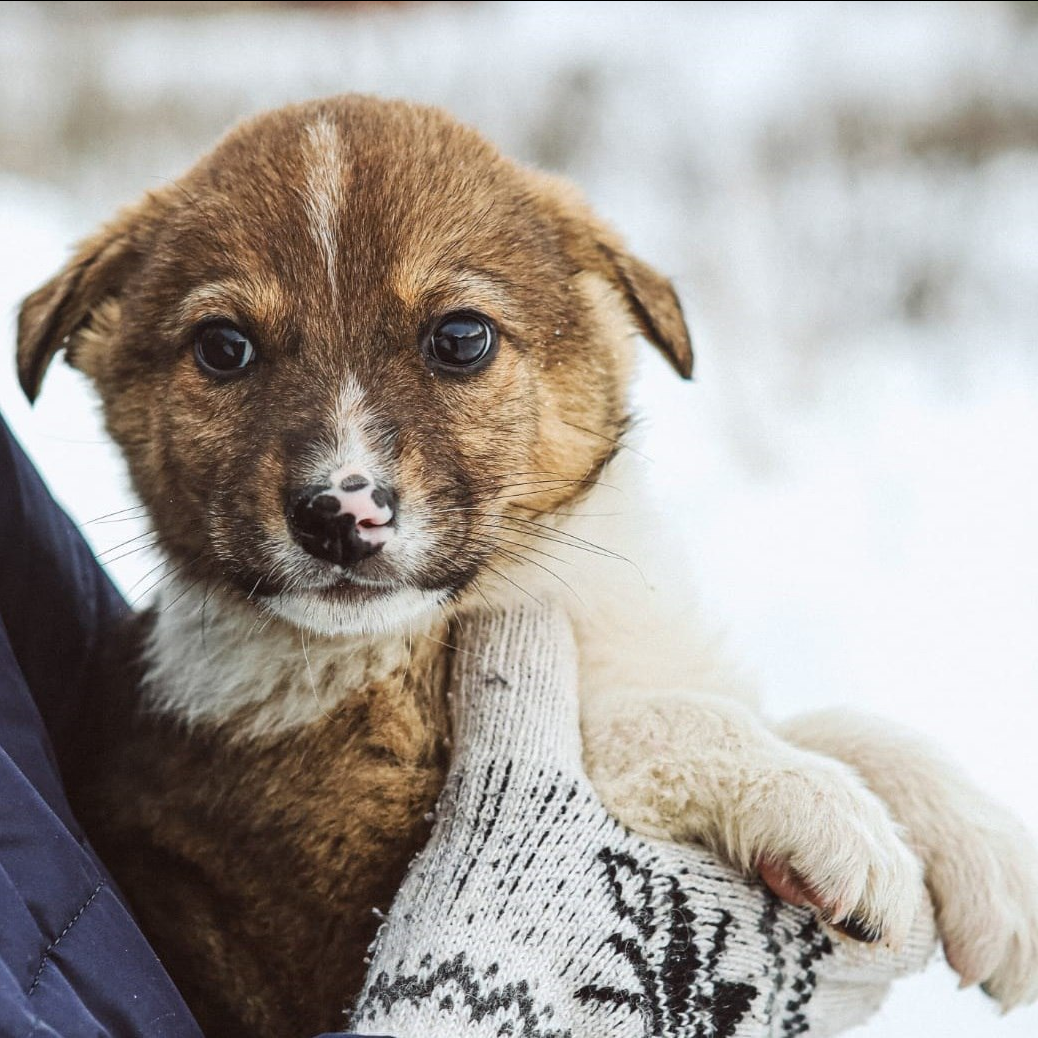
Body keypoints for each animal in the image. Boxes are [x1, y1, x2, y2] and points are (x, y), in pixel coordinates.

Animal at [18, 93, 1038, 1033]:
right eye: (223, 348)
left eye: (461, 337)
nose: (341, 513)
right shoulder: (343, 886)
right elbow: (638, 722)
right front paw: (824, 811)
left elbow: (828, 719)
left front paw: (988, 856)